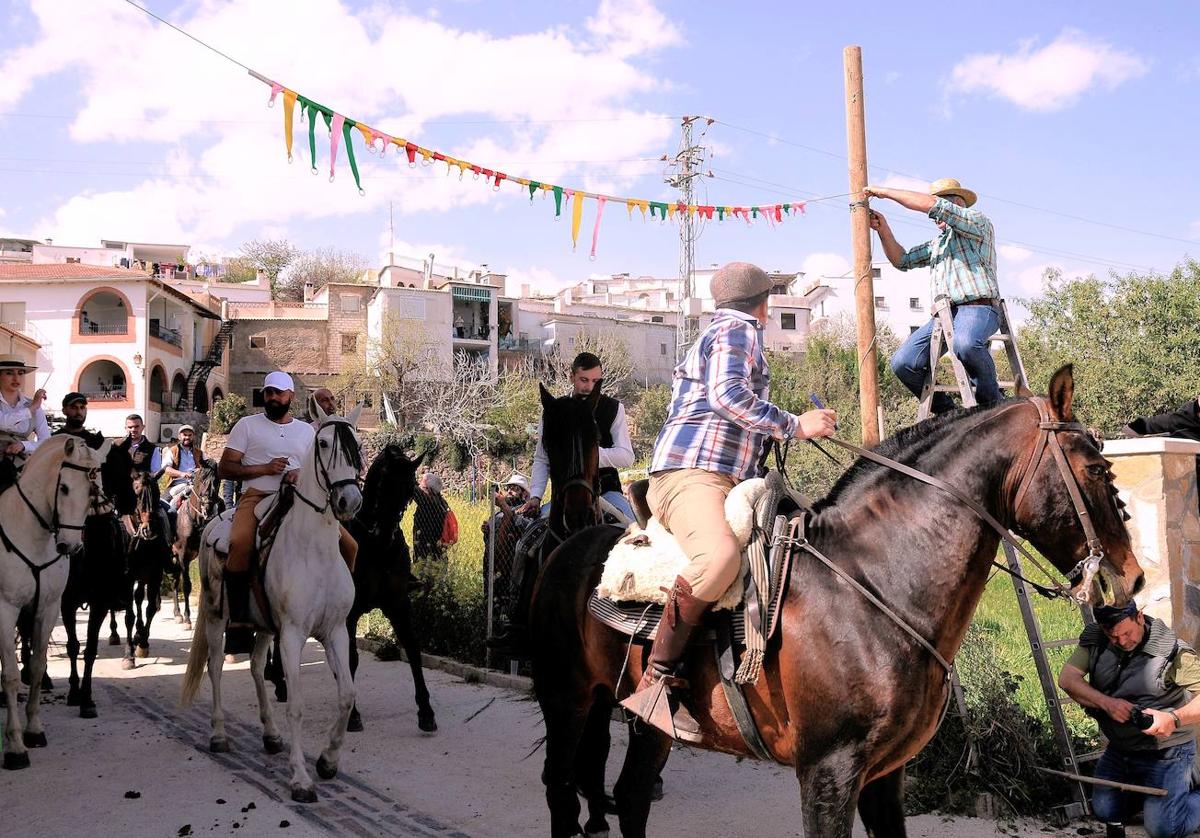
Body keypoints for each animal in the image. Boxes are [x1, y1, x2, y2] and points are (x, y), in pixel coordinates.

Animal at [1, 434, 108, 768]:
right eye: (64, 488)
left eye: (93, 490)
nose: (70, 546)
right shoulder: (5, 609)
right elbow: (11, 675)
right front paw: (15, 747)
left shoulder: (47, 608)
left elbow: (37, 667)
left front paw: (34, 731)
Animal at [180, 408, 362, 801]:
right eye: (323, 443)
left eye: (356, 444)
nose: (349, 501)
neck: (314, 550)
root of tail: (214, 522)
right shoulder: (292, 634)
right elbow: (296, 705)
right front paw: (301, 778)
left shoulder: (335, 631)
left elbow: (346, 696)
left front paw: (328, 760)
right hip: (216, 617)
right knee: (216, 667)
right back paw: (219, 734)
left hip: (263, 626)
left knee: (255, 666)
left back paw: (270, 734)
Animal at [532, 364, 1142, 835]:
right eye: (1096, 468)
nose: (1131, 578)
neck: (871, 586)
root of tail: (567, 544)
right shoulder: (828, 772)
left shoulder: (884, 777)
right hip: (567, 700)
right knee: (560, 790)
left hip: (646, 725)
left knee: (632, 797)